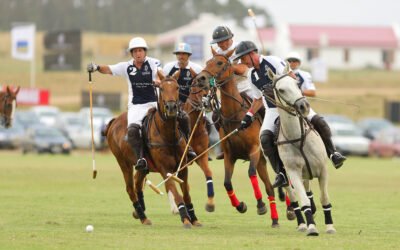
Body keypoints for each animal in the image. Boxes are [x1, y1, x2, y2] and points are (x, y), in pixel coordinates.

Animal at [103, 76, 200, 229]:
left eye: (177, 87)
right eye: (161, 88)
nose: (171, 108)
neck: (169, 136)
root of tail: (114, 120)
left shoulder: (183, 168)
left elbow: (186, 193)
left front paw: (194, 218)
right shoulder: (165, 169)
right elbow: (176, 193)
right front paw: (185, 219)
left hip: (143, 166)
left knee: (137, 184)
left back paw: (140, 211)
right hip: (123, 162)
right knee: (130, 188)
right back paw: (143, 217)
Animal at [195, 47, 280, 228]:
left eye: (220, 63)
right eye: (207, 62)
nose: (200, 79)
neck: (235, 116)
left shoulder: (254, 150)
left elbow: (250, 173)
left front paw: (260, 205)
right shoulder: (230, 156)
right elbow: (227, 183)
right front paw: (241, 205)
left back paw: (289, 211)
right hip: (262, 162)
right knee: (270, 187)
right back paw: (276, 219)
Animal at [268, 65, 336, 236]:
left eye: (297, 84)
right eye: (281, 89)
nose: (304, 106)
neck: (298, 137)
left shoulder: (323, 170)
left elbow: (324, 198)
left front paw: (330, 226)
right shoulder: (293, 172)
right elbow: (303, 200)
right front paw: (311, 227)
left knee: (309, 191)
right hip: (286, 176)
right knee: (293, 196)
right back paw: (301, 224)